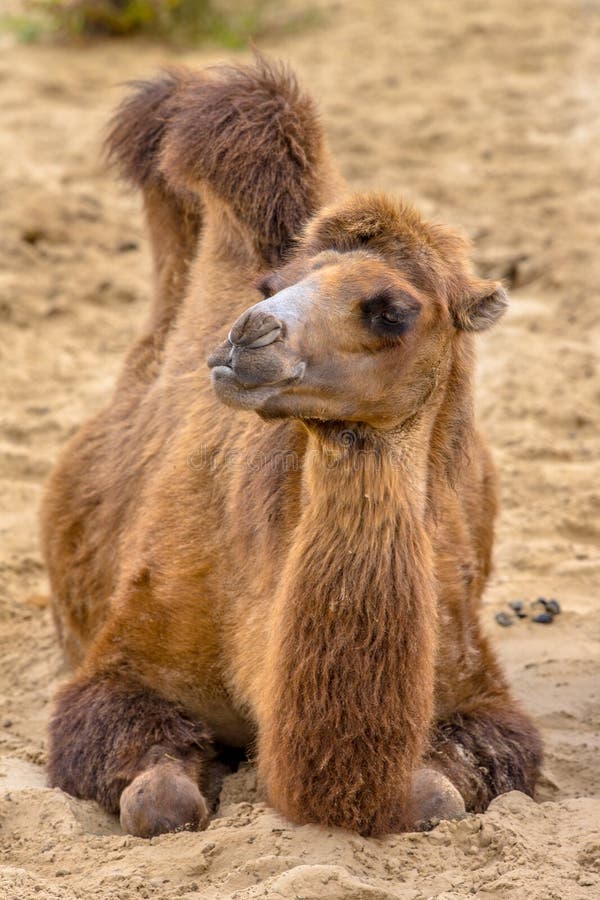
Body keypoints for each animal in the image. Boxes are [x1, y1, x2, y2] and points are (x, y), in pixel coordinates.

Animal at [39, 61, 540, 836]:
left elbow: (439, 795)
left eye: (392, 310)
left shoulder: (472, 680)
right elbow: (158, 799)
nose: (248, 333)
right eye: (274, 283)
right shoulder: (125, 661)